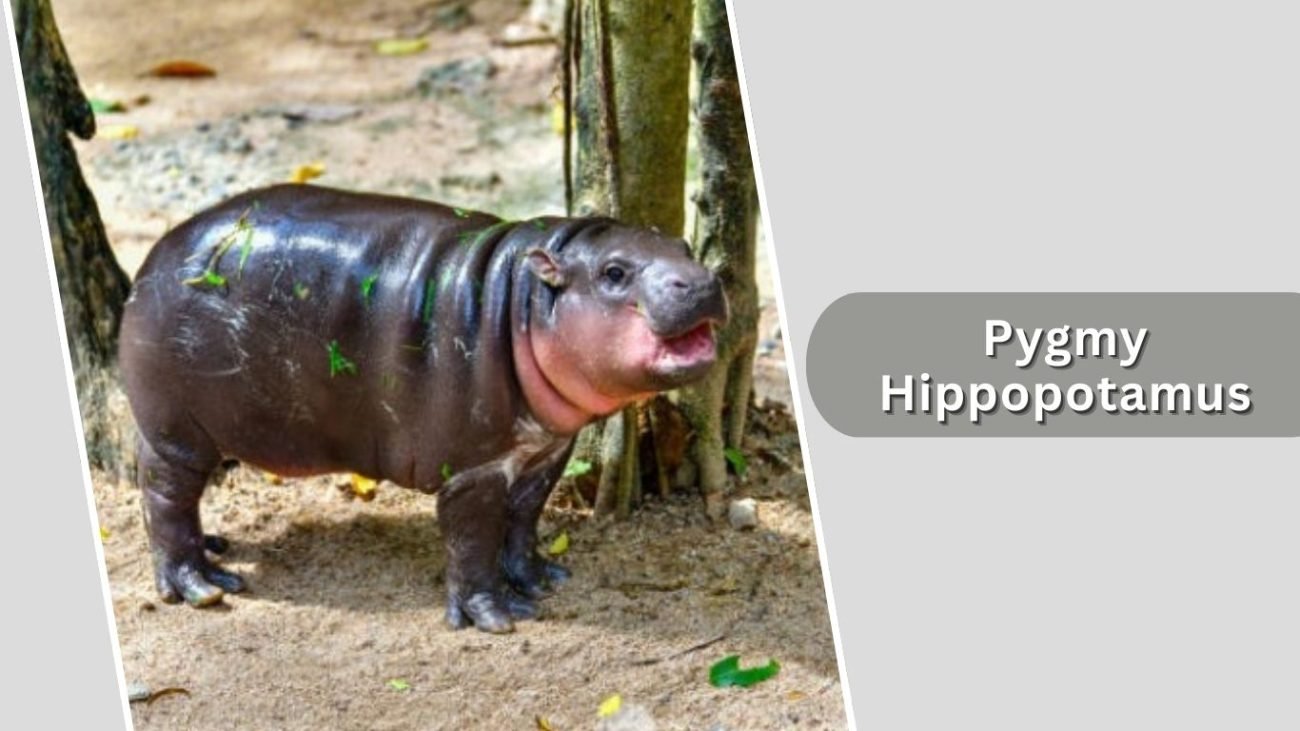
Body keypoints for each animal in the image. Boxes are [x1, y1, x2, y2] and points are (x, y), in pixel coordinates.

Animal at [118, 184, 727, 633]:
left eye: (685, 246)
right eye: (614, 273)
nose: (704, 281)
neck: (522, 299)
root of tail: (155, 253)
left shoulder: (546, 452)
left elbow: (523, 520)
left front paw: (540, 580)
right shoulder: (472, 470)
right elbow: (472, 540)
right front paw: (497, 617)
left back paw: (217, 548)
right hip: (176, 430)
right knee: (165, 497)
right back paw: (202, 586)